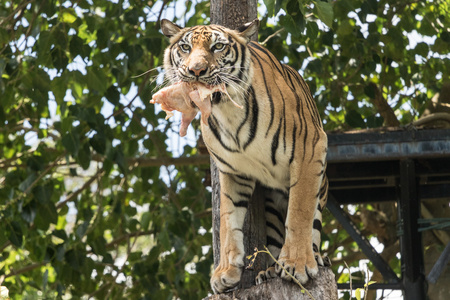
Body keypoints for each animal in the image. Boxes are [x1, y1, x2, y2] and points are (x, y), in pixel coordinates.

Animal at [160, 18, 328, 292]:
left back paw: (314, 259)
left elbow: (300, 213)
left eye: (217, 47)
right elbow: (228, 221)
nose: (196, 71)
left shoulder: (309, 149)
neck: (227, 111)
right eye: (185, 47)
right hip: (272, 205)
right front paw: (224, 273)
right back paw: (269, 272)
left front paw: (297, 265)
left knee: (312, 222)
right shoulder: (233, 171)